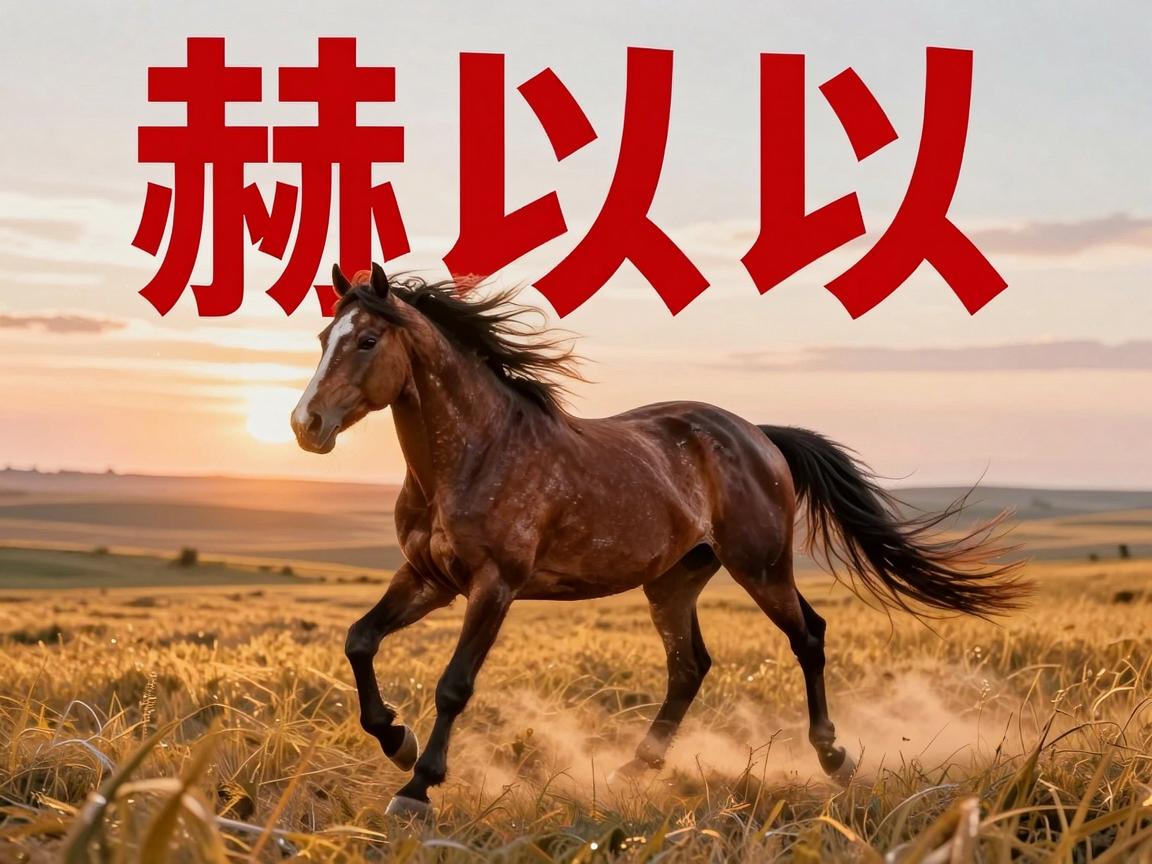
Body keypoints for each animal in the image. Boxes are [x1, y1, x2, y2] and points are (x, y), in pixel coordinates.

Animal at [290, 263, 1028, 818]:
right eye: (326, 334)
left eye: (365, 341)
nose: (305, 425)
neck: (476, 453)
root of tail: (759, 435)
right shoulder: (428, 578)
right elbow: (359, 640)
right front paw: (396, 739)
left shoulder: (494, 586)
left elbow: (453, 685)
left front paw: (417, 786)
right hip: (674, 580)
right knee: (689, 666)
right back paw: (634, 768)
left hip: (761, 567)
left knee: (808, 637)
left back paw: (833, 757)